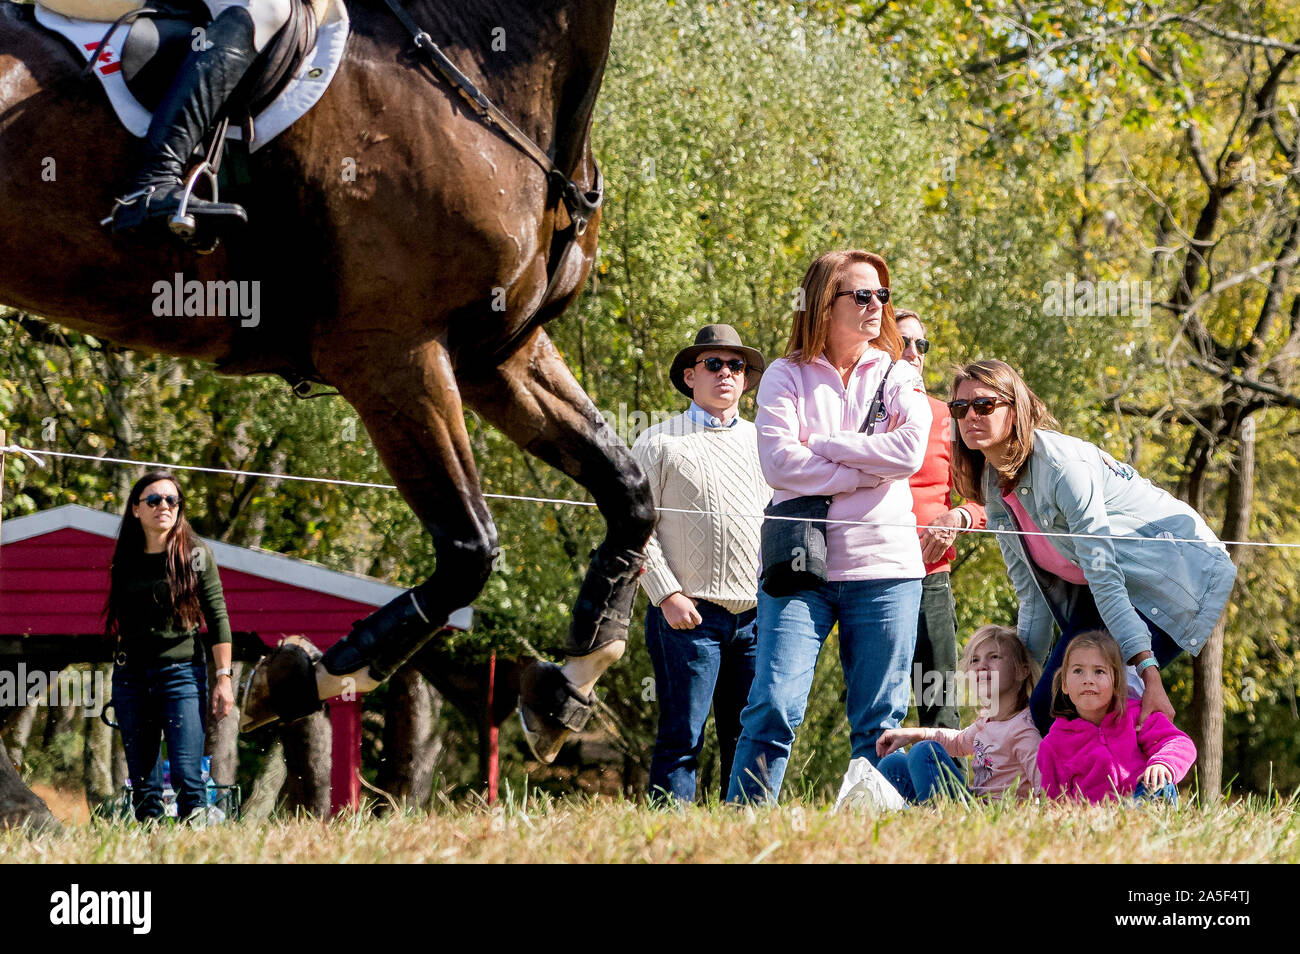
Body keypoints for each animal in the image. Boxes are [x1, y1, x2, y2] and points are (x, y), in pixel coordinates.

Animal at [0, 0, 650, 831]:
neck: (477, 52)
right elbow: (469, 551)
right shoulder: (393, 353)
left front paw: (571, 681)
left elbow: (628, 493)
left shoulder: (497, 355)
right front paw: (298, 677)